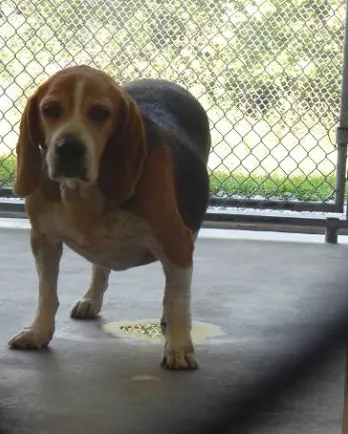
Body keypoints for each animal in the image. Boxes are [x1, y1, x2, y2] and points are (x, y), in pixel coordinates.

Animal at [8, 64, 212, 370]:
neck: (84, 194)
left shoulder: (177, 243)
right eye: (50, 109)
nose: (69, 148)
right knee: (99, 267)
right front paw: (39, 332)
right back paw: (91, 299)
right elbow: (47, 293)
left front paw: (178, 347)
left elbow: (176, 300)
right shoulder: (44, 240)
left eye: (101, 113)